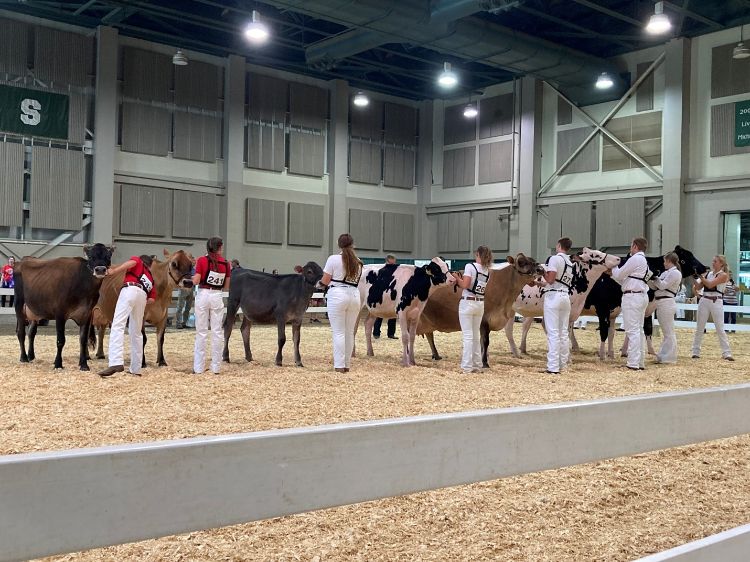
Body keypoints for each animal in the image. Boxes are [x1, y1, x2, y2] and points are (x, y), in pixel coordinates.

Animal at [580, 245, 712, 358]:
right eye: (688, 257)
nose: (705, 268)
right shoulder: (606, 308)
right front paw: (624, 351)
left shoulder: (646, 308)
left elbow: (647, 328)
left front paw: (650, 351)